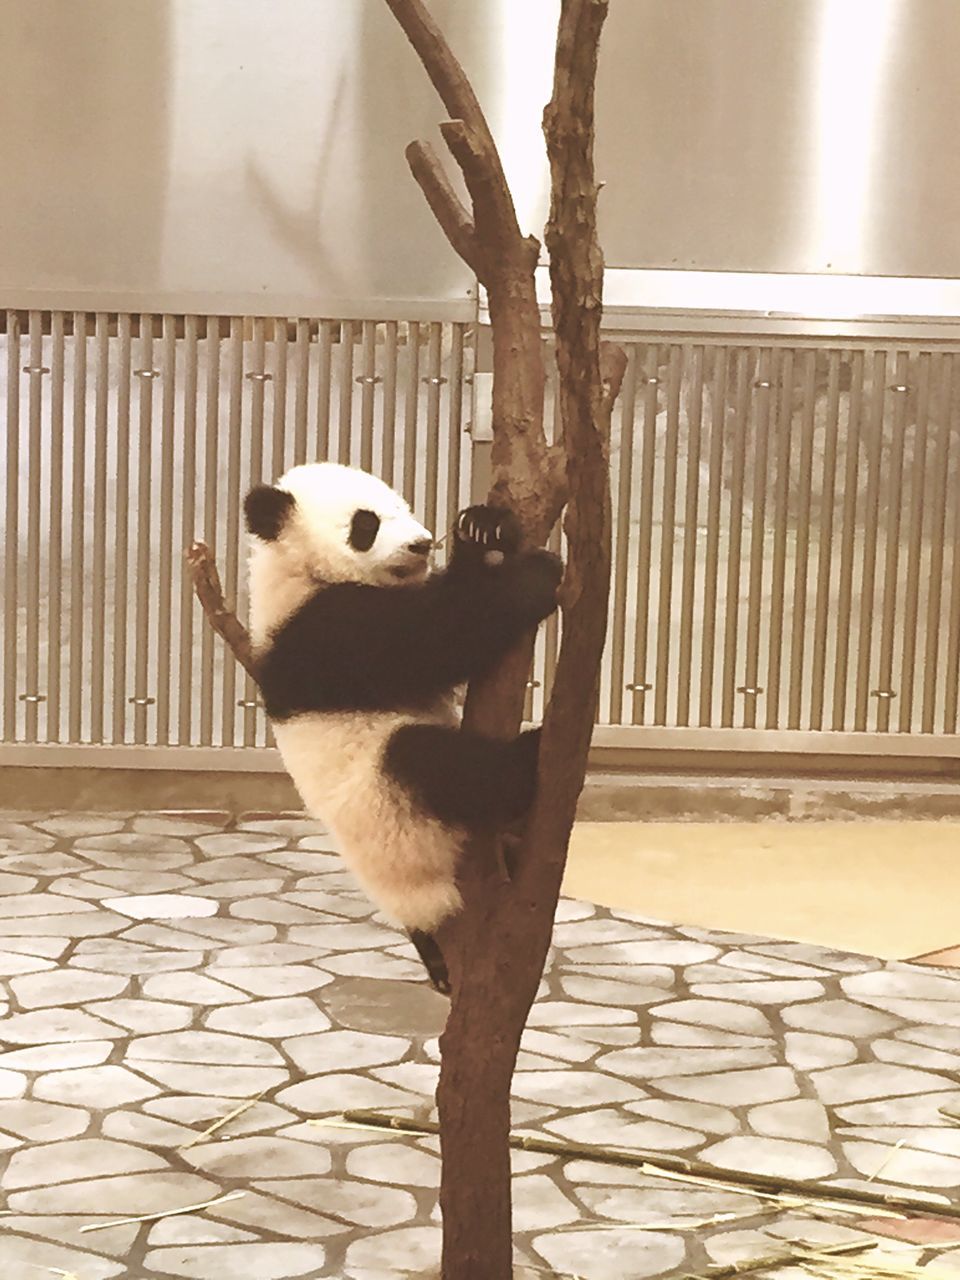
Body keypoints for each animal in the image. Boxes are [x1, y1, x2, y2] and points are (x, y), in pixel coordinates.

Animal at [244, 465, 563, 993]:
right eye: (366, 523)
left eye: (404, 506)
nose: (422, 543)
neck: (296, 569)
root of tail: (426, 906)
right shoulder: (322, 631)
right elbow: (437, 638)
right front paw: (535, 577)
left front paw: (482, 530)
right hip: (391, 807)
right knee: (436, 764)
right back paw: (530, 755)